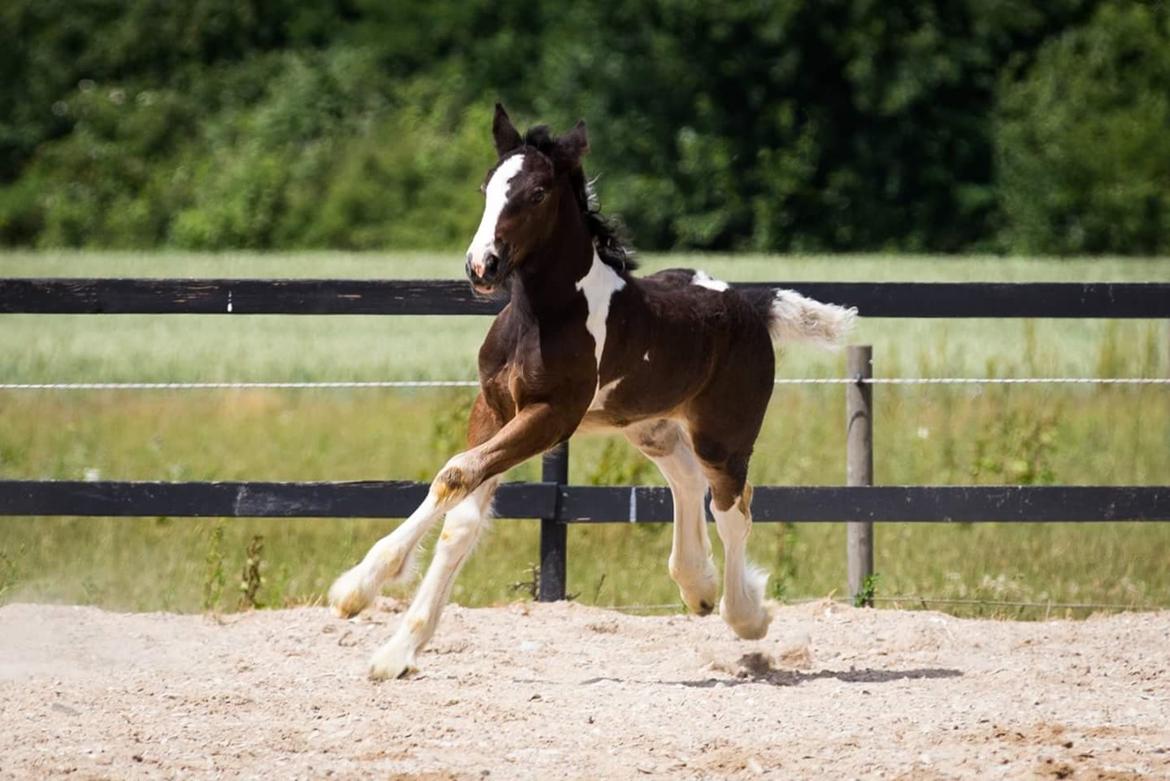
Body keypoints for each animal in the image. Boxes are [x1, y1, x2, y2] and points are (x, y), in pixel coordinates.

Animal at [329, 106, 851, 678]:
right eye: (485, 187)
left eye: (536, 193)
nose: (481, 266)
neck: (543, 316)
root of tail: (751, 305)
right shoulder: (493, 408)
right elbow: (459, 508)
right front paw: (387, 634)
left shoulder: (549, 416)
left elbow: (457, 476)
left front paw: (363, 601)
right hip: (649, 427)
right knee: (688, 481)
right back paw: (698, 585)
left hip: (723, 436)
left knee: (733, 508)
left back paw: (745, 616)